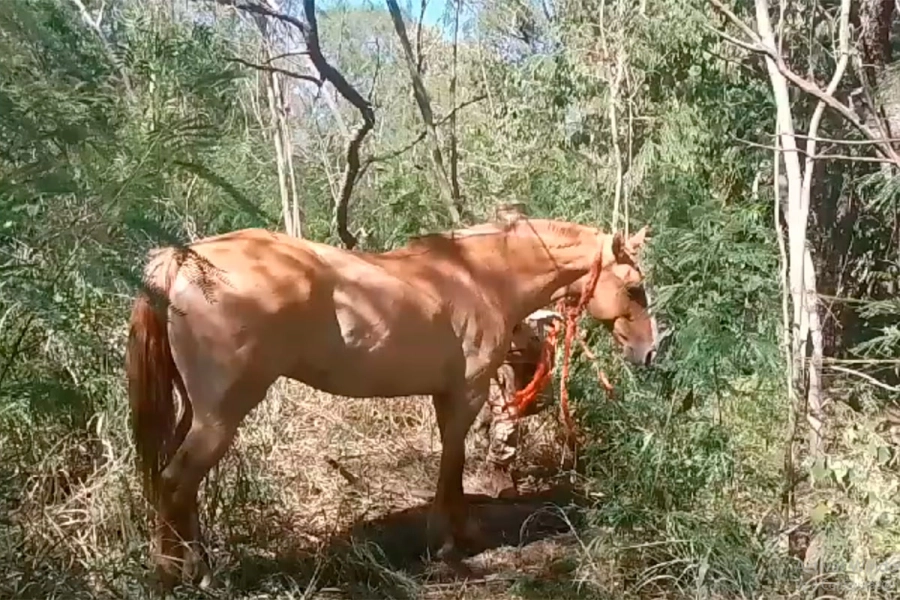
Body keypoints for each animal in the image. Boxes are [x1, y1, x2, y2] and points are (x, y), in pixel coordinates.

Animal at [124, 215, 655, 589]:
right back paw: (183, 575)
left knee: (180, 485)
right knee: (174, 481)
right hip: (221, 414)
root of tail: (183, 260)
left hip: (196, 413)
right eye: (634, 287)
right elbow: (452, 466)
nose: (649, 351)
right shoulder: (466, 394)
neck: (483, 276)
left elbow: (451, 468)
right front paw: (450, 544)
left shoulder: (447, 396)